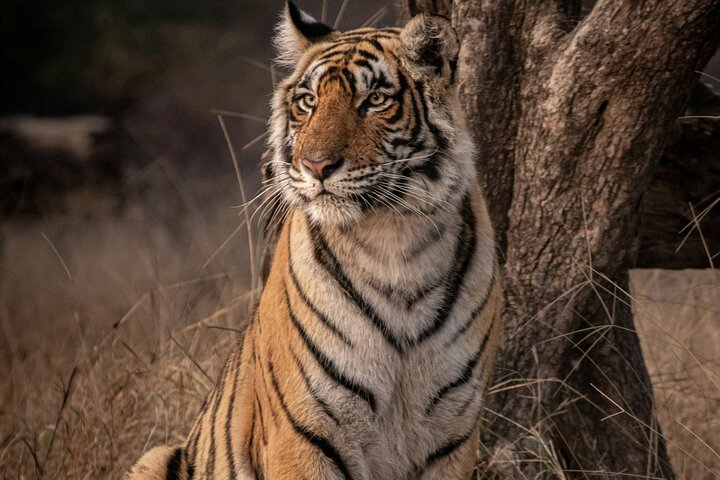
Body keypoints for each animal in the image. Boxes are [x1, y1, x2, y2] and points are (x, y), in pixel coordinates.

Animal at [126, 2, 501, 479]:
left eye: (374, 100)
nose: (316, 166)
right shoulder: (304, 433)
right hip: (152, 458)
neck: (394, 241)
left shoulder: (451, 436)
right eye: (308, 101)